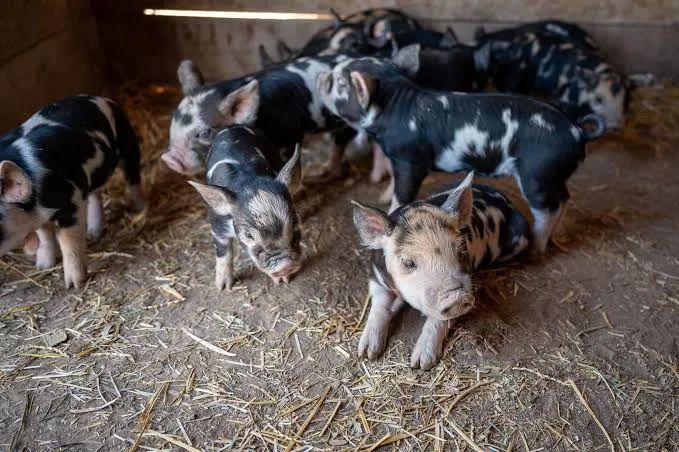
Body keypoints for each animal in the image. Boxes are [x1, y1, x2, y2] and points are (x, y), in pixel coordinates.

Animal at [0, 95, 143, 288]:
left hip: (127, 141)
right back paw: (93, 233)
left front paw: (75, 284)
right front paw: (43, 266)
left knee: (133, 177)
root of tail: (100, 98)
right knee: (95, 195)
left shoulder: (72, 200)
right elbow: (45, 235)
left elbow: (68, 240)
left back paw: (141, 210)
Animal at [189, 126, 302, 289]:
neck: (248, 182)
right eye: (249, 235)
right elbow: (223, 252)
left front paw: (283, 281)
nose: (285, 266)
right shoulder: (217, 225)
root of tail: (232, 127)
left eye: (295, 222)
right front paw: (223, 287)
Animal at [318, 56, 605, 254]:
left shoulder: (411, 160)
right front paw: (382, 196)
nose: (322, 77)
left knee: (547, 209)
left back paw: (536, 249)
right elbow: (393, 183)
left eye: (341, 83)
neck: (395, 109)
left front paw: (392, 209)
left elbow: (403, 193)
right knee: (564, 199)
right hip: (552, 177)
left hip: (537, 174)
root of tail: (577, 132)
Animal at [352, 172, 529, 369]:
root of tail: (505, 198)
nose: (456, 295)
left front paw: (421, 363)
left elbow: (439, 320)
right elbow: (379, 307)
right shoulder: (376, 277)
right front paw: (366, 353)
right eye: (409, 262)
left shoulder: (468, 281)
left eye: (459, 251)